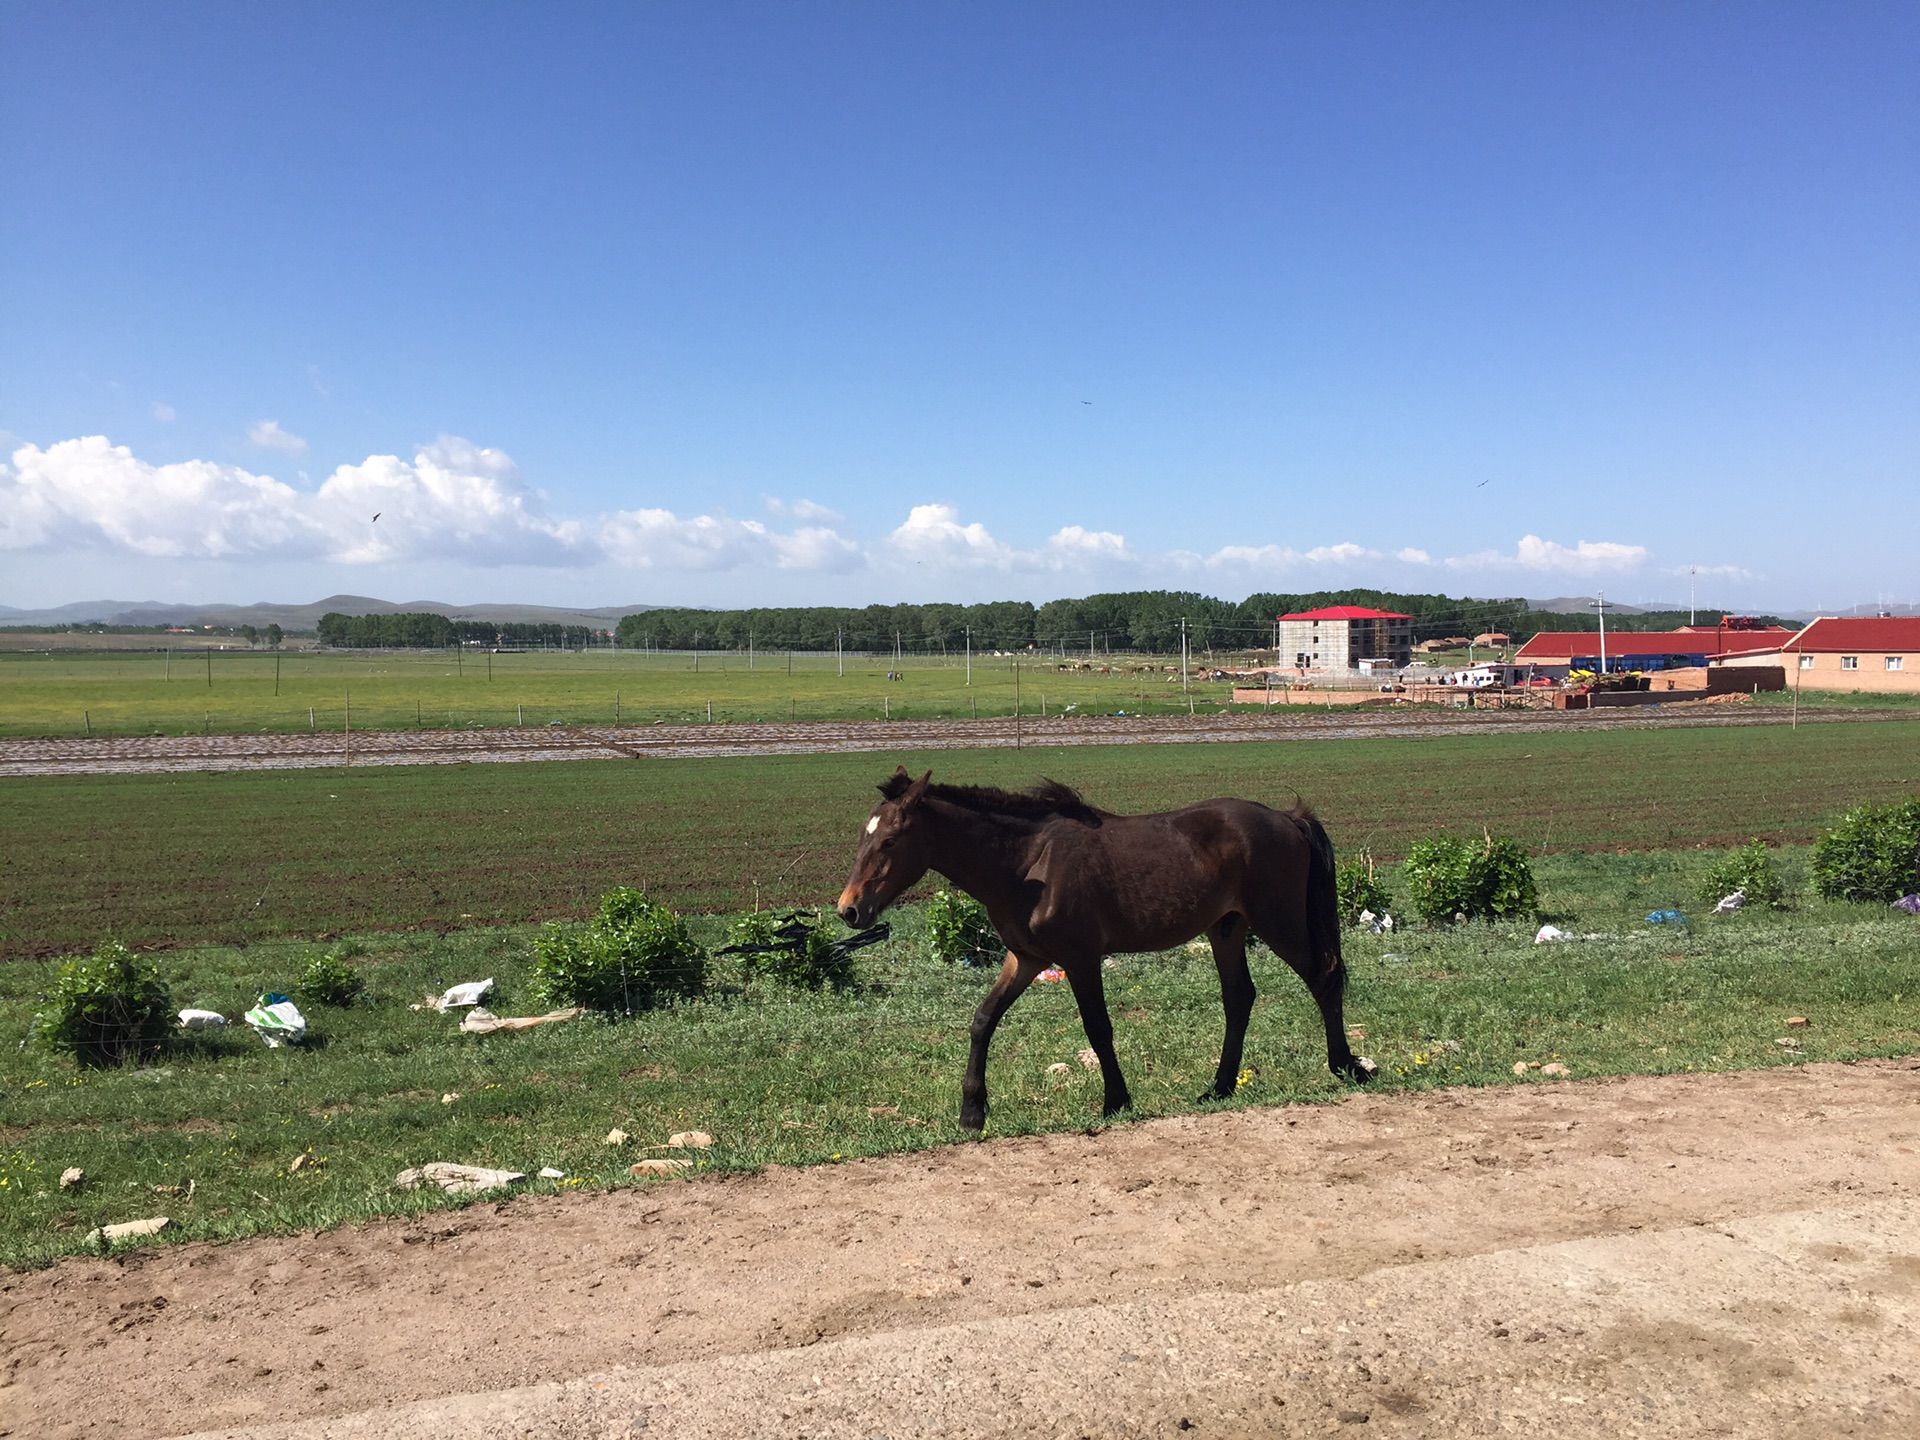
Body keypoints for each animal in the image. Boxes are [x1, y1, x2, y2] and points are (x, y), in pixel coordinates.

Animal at [837, 771, 1367, 1136]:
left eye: (889, 840)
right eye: (862, 836)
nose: (849, 910)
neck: (1028, 863)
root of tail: (1287, 818)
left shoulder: (1080, 958)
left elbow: (1098, 1028)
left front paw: (1116, 1100)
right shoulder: (1025, 959)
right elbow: (983, 1020)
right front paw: (972, 1112)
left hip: (1279, 922)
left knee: (1323, 977)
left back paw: (1347, 1067)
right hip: (1227, 929)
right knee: (1239, 998)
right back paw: (1217, 1087)